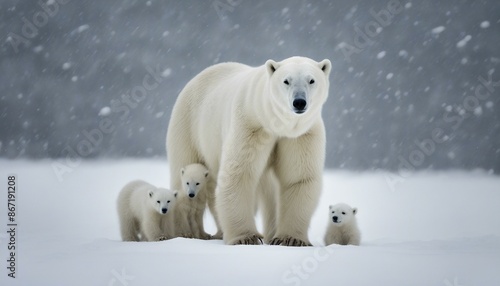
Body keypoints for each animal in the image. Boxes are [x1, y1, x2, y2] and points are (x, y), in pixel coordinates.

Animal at [168, 56, 332, 246]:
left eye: (311, 80)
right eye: (286, 81)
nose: (299, 102)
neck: (275, 123)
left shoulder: (301, 136)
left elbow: (298, 178)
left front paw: (290, 239)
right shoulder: (251, 126)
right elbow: (239, 173)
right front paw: (247, 237)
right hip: (188, 126)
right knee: (188, 170)